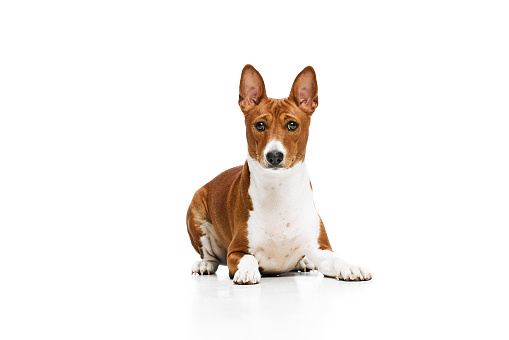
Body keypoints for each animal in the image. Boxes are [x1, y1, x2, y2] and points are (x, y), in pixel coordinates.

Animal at [185, 65, 372, 282]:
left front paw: (351, 267)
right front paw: (247, 271)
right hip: (196, 210)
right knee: (209, 255)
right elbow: (249, 258)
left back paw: (304, 263)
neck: (278, 189)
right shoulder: (236, 251)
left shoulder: (321, 248)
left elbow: (337, 259)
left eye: (292, 125)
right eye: (260, 125)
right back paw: (204, 264)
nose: (274, 155)